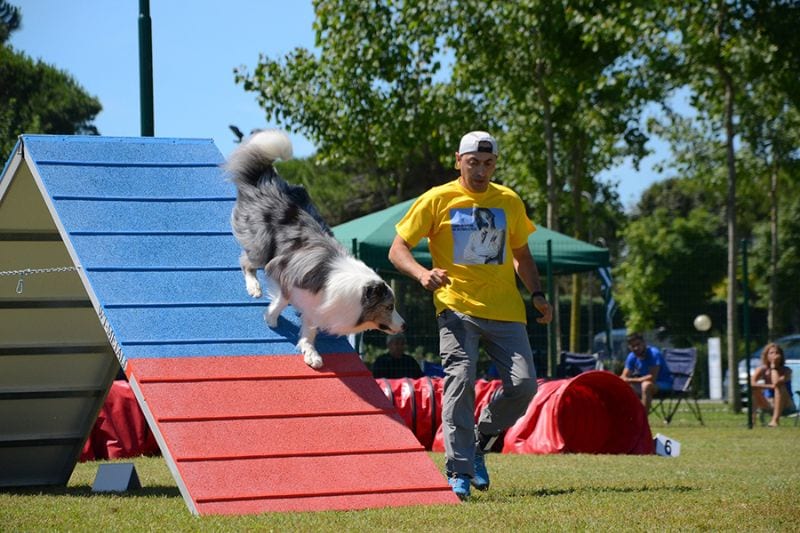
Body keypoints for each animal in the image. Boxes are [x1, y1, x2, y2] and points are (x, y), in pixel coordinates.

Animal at [227, 131, 406, 368]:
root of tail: (266, 178)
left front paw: (310, 352)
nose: (405, 326)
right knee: (245, 261)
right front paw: (271, 317)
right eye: (389, 307)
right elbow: (283, 299)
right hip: (262, 247)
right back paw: (254, 287)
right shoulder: (283, 270)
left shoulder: (318, 305)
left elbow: (310, 329)